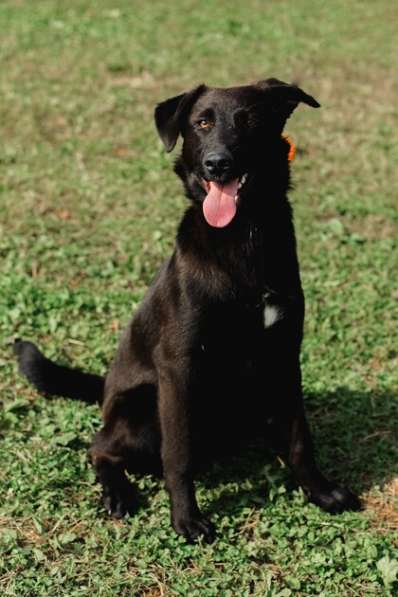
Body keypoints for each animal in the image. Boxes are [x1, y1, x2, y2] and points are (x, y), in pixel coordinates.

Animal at [14, 78, 360, 540]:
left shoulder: (285, 354)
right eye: (202, 123)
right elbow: (177, 457)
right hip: (143, 410)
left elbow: (301, 436)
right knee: (100, 447)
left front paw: (320, 491)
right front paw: (186, 518)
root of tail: (105, 391)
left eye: (249, 121)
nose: (218, 164)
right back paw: (117, 492)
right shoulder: (177, 368)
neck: (243, 235)